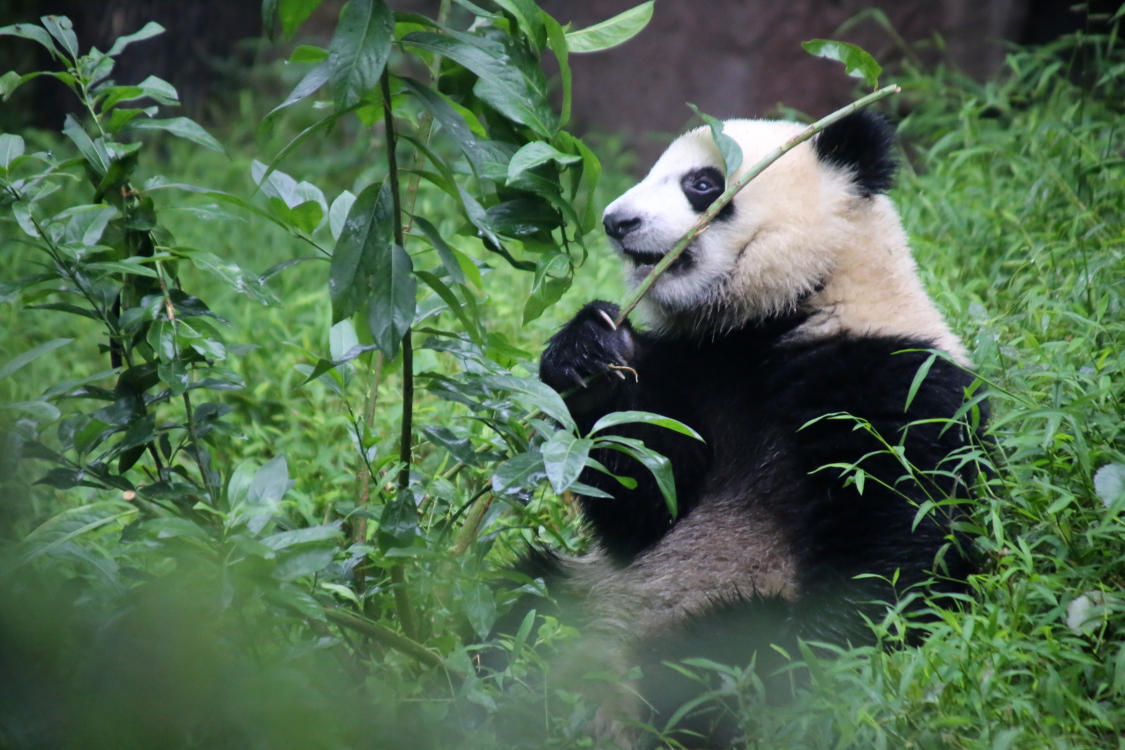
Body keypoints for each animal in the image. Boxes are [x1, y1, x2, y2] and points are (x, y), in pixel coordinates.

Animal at [519, 110, 987, 748]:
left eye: (702, 183)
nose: (617, 222)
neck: (776, 315)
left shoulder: (889, 375)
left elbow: (896, 519)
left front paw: (823, 653)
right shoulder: (699, 373)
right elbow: (647, 504)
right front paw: (588, 353)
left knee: (719, 654)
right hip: (580, 588)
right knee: (504, 599)